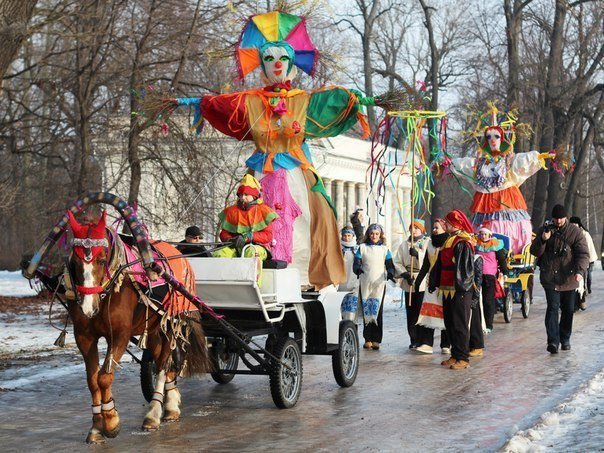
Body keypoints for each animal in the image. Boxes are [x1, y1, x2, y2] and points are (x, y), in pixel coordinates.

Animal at [65, 210, 211, 444]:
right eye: (75, 260)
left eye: (102, 259)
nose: (88, 307)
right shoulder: (84, 337)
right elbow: (92, 380)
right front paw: (97, 427)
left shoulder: (120, 335)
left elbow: (104, 378)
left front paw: (111, 420)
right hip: (153, 329)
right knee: (163, 360)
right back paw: (170, 405)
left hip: (170, 323)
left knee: (163, 365)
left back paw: (153, 413)